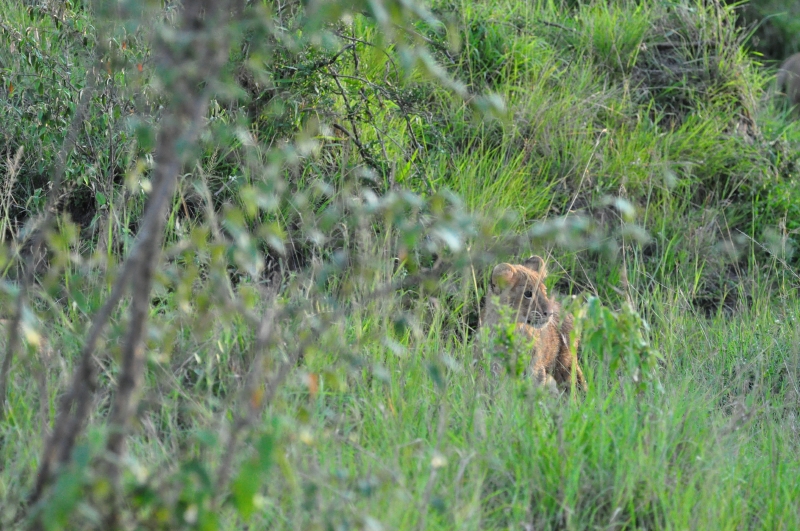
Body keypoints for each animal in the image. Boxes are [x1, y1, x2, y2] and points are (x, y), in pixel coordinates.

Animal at [478, 256, 586, 393]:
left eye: (544, 291)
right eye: (528, 293)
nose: (549, 313)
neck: (513, 329)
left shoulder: (535, 368)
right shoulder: (494, 365)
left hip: (564, 364)